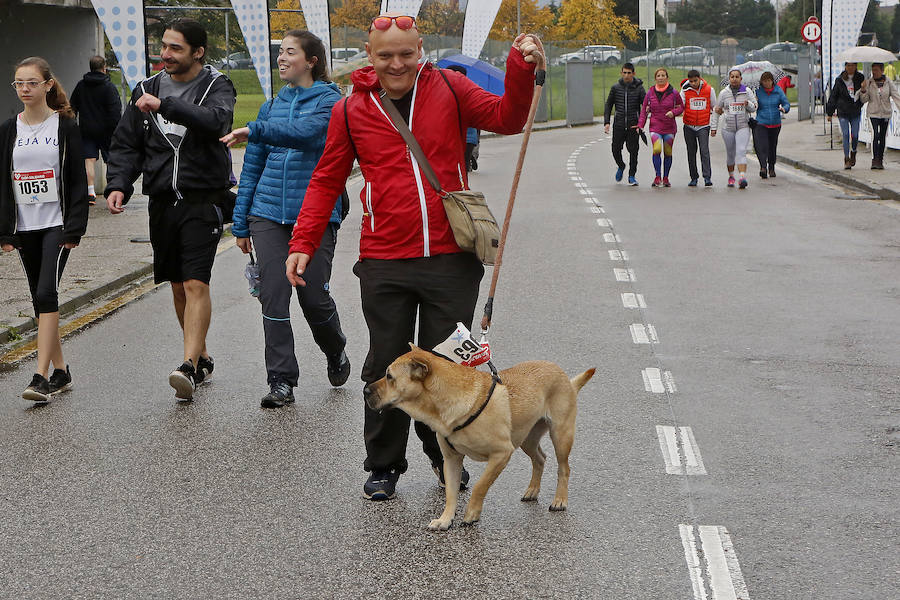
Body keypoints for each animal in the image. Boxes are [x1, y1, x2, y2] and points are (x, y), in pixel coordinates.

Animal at [362, 344, 596, 532]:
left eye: (389, 377)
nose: (365, 390)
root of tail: (564, 376)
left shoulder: (501, 454)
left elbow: (480, 486)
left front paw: (471, 514)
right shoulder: (451, 460)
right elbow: (451, 494)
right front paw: (445, 520)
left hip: (560, 435)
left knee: (564, 468)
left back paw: (560, 500)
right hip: (526, 438)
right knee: (540, 458)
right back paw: (532, 490)